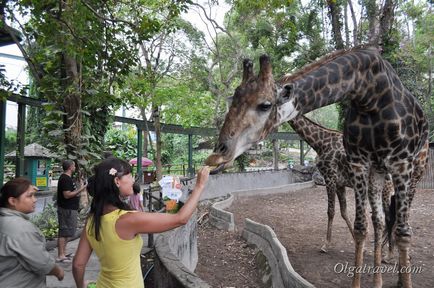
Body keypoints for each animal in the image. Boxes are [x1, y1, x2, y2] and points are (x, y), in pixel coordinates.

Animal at [206, 46, 428, 286]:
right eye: (234, 100)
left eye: (265, 105)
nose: (219, 152)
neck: (368, 92)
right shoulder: (353, 168)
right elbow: (350, 217)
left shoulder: (346, 174)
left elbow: (334, 211)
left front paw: (326, 245)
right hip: (378, 176)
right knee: (380, 219)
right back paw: (382, 270)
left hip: (409, 176)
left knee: (397, 222)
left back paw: (395, 264)